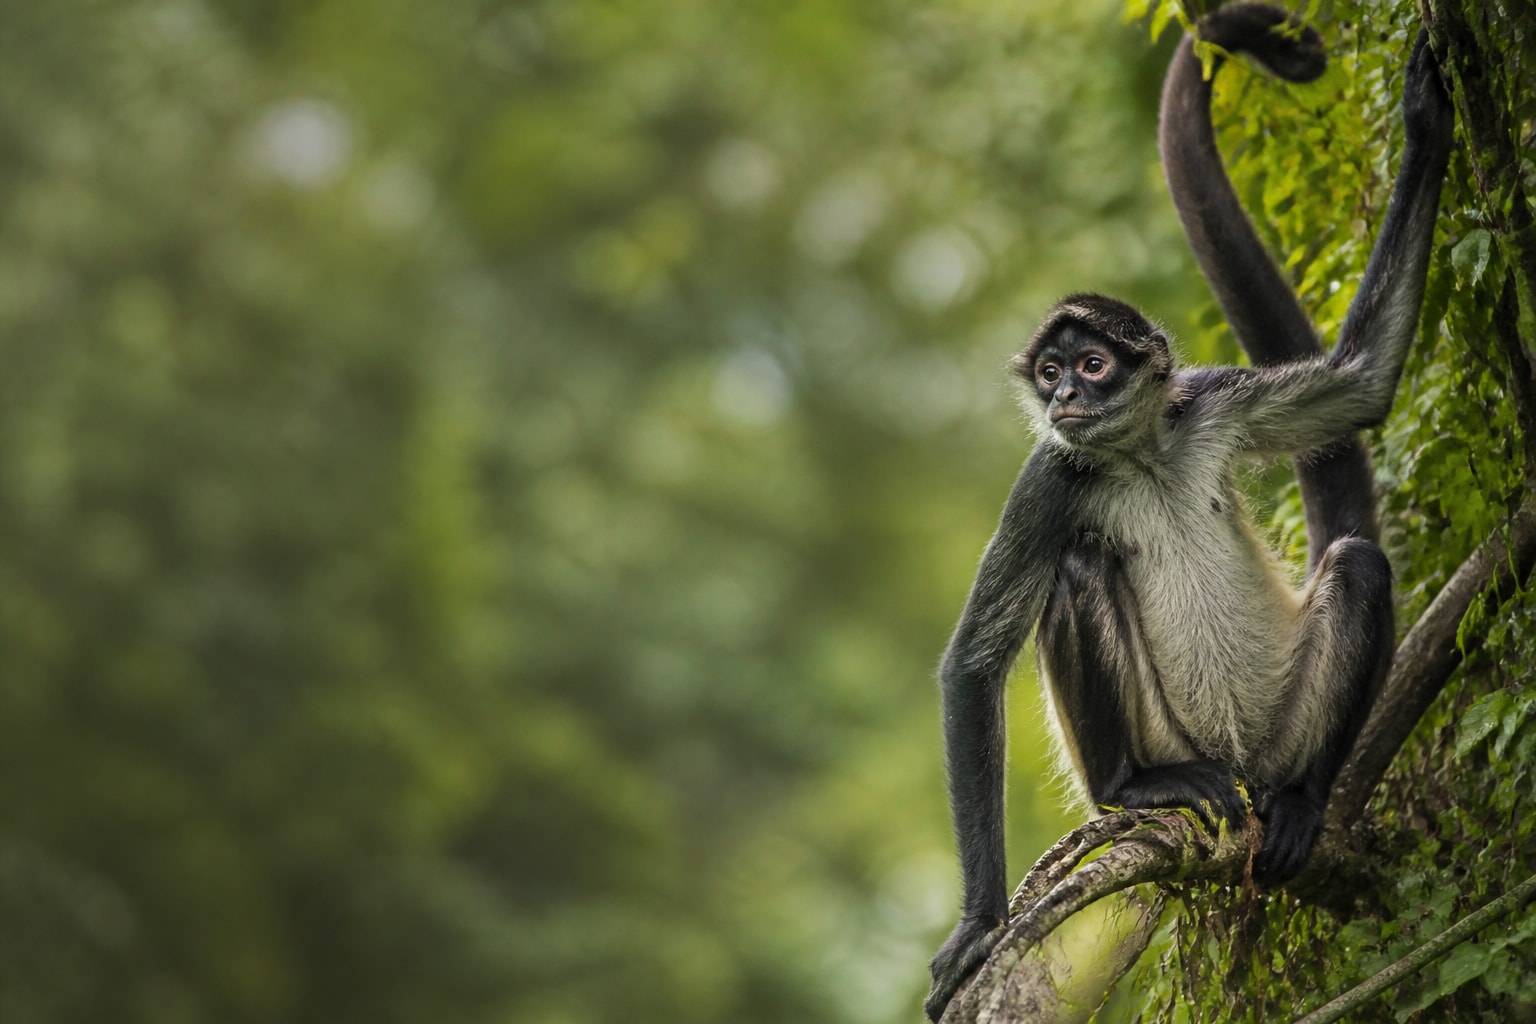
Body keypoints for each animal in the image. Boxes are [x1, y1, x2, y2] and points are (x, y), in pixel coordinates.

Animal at [924, 7, 1454, 1021]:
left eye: (1092, 366)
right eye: (1050, 373)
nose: (1064, 398)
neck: (1134, 451)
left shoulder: (1208, 403)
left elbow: (1365, 384)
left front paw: (1428, 119)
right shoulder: (1049, 477)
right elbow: (972, 662)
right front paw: (976, 929)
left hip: (1285, 722)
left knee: (1359, 563)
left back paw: (1303, 799)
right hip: (1171, 731)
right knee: (1080, 567)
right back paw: (1136, 788)